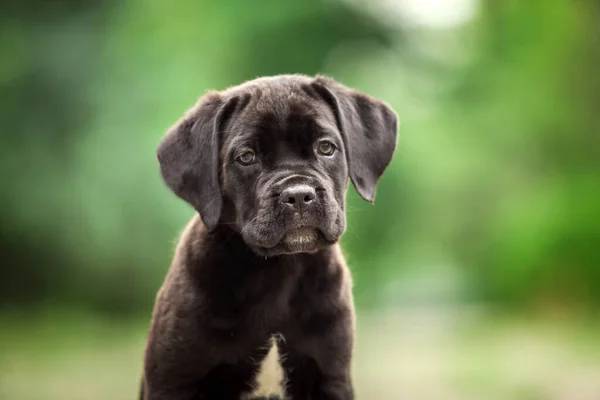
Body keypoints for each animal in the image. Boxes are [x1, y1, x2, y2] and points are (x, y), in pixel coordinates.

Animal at [141, 75, 398, 400]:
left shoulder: (330, 375)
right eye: (246, 157)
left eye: (326, 147)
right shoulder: (175, 379)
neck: (277, 270)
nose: (299, 195)